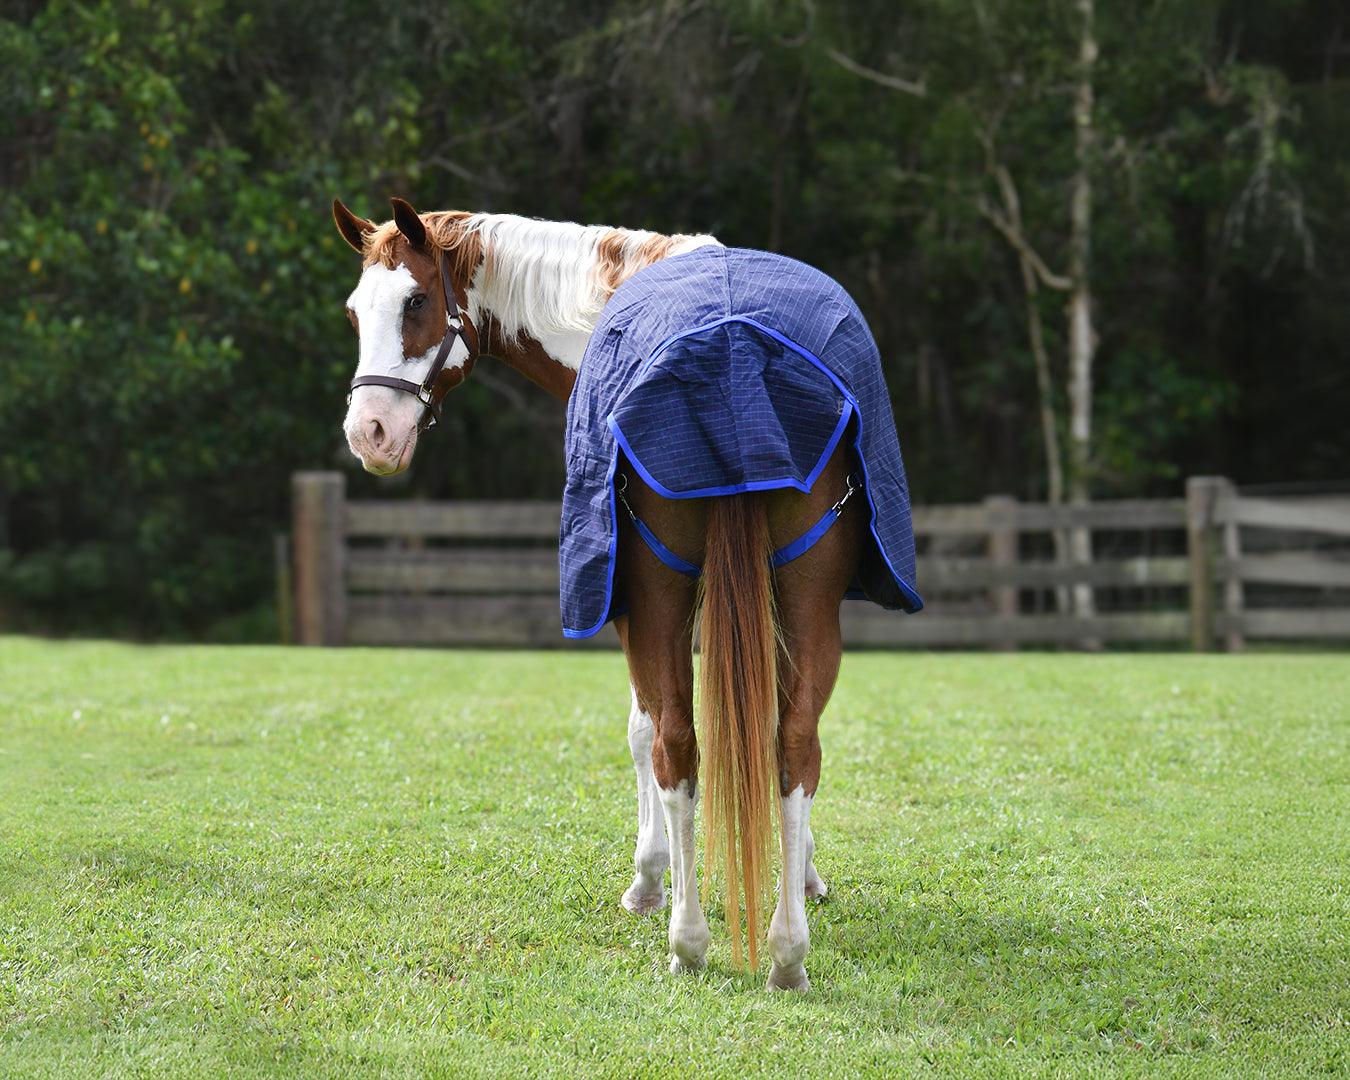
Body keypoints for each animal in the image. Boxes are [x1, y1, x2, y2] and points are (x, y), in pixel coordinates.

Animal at [331, 196, 921, 990]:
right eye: (355, 313)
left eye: (416, 302)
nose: (369, 432)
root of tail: (733, 353)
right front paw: (804, 875)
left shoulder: (629, 607)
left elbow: (643, 730)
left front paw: (648, 877)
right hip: (806, 601)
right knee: (795, 744)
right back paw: (787, 952)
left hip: (657, 595)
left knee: (675, 743)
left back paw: (688, 939)